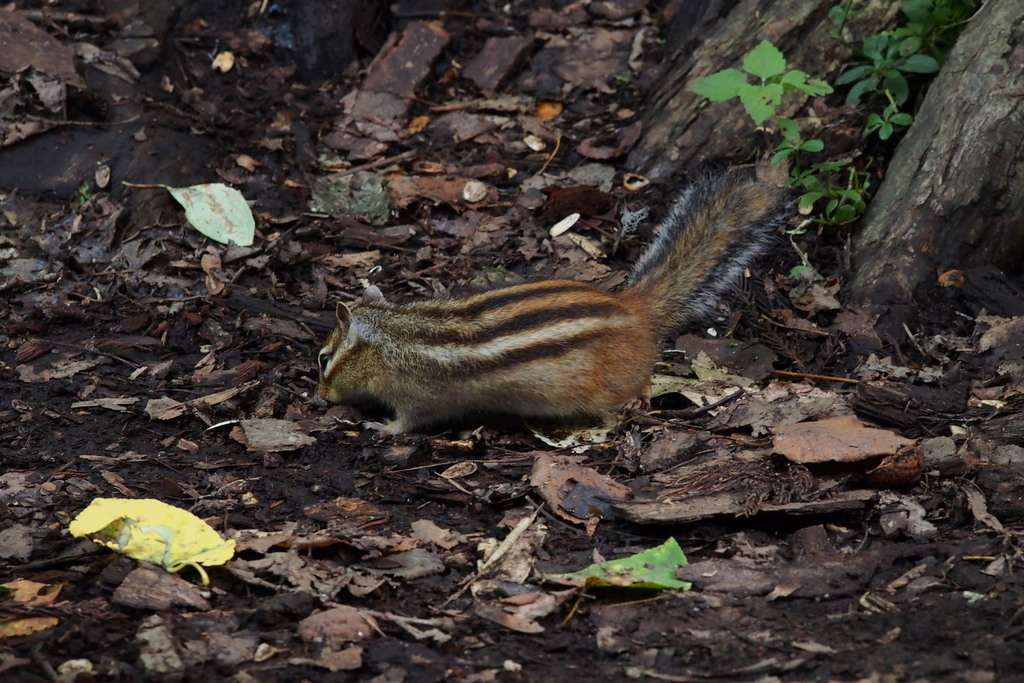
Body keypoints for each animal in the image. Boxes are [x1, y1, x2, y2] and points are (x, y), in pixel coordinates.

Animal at [317, 171, 791, 434]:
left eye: (323, 358)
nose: (321, 399)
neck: (391, 335)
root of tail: (632, 309)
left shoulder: (417, 397)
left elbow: (408, 423)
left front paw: (381, 427)